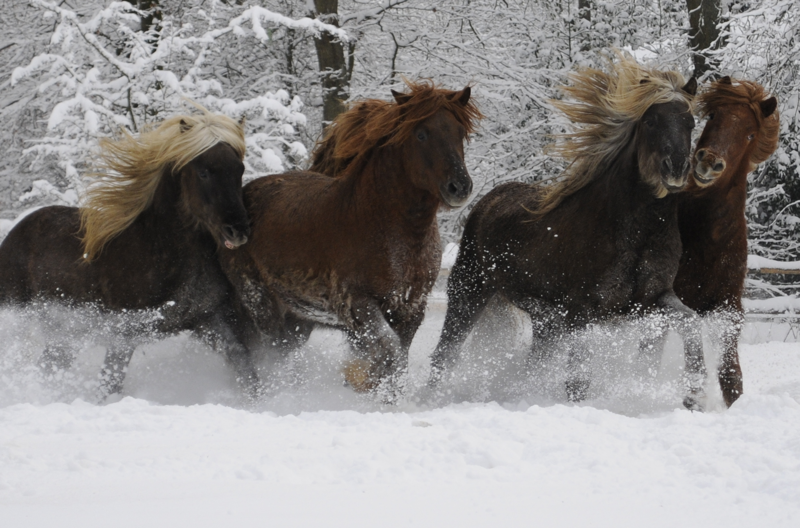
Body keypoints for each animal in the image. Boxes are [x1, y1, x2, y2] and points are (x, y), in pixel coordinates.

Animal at [0, 108, 258, 400]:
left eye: (239, 169)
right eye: (204, 172)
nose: (238, 230)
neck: (159, 248)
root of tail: (15, 232)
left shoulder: (208, 319)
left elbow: (243, 362)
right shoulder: (124, 332)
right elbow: (110, 382)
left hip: (63, 333)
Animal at [216, 80, 482, 398]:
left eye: (460, 132)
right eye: (421, 133)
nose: (460, 187)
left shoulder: (411, 309)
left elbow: (396, 362)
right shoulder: (358, 304)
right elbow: (388, 352)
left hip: (298, 318)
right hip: (261, 303)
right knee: (273, 356)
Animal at [424, 56, 708, 408]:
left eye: (690, 122)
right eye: (651, 121)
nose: (677, 168)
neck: (637, 234)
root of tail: (489, 200)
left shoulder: (651, 300)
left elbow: (691, 322)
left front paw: (695, 394)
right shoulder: (581, 311)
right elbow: (578, 380)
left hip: (544, 317)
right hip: (470, 293)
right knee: (446, 353)